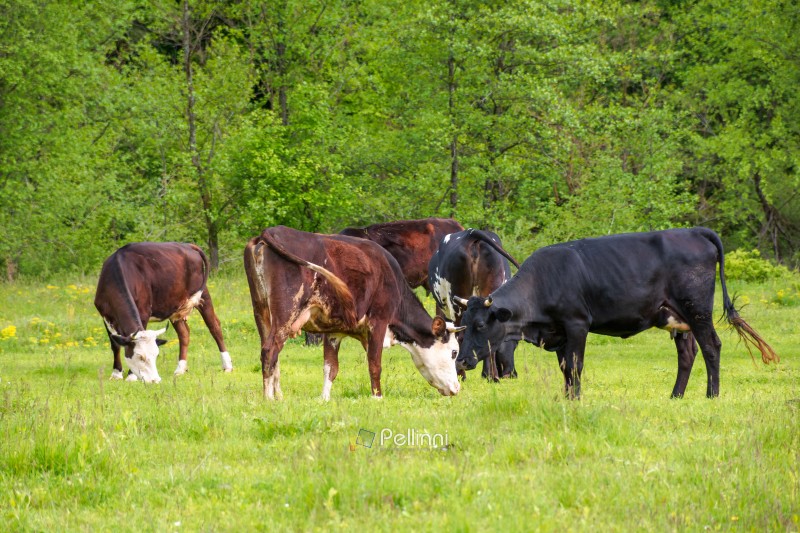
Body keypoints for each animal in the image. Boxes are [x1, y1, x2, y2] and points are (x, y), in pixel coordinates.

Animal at [94, 242, 232, 383]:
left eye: (156, 355)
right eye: (140, 356)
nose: (155, 380)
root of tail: (188, 245)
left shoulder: (143, 312)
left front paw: (131, 376)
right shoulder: (105, 315)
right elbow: (115, 345)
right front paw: (116, 373)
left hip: (203, 295)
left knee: (214, 327)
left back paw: (227, 365)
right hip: (174, 305)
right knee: (184, 333)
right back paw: (180, 369)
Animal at [243, 226, 462, 400]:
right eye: (453, 352)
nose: (456, 388)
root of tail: (270, 231)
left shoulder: (334, 332)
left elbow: (330, 368)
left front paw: (324, 399)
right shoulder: (378, 322)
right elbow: (374, 364)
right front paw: (377, 398)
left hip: (261, 311)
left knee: (270, 353)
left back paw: (278, 395)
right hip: (285, 313)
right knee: (270, 350)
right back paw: (269, 398)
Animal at [428, 229, 521, 380]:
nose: (511, 374)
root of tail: (472, 234)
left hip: (457, 304)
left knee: (460, 336)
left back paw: (462, 374)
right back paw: (492, 376)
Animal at [455, 228, 778, 399]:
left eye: (481, 325)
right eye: (463, 325)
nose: (461, 360)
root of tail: (692, 231)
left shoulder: (576, 324)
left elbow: (575, 366)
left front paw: (575, 399)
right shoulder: (559, 334)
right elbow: (565, 368)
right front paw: (567, 397)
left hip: (697, 310)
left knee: (711, 346)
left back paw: (712, 394)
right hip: (678, 318)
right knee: (687, 354)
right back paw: (676, 395)